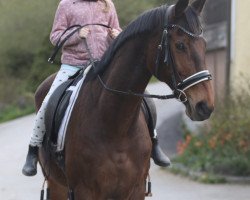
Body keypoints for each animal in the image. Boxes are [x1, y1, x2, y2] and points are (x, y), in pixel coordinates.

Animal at [36, 0, 214, 198]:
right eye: (180, 45)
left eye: (204, 45)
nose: (205, 105)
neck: (115, 124)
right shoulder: (85, 191)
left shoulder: (135, 188)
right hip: (56, 185)